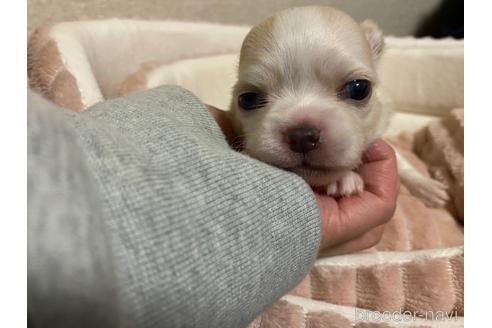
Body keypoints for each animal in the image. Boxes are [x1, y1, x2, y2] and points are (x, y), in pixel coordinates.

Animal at [229, 5, 448, 205]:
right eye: (248, 99)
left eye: (359, 89)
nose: (302, 135)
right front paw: (344, 178)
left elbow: (401, 162)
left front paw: (426, 186)